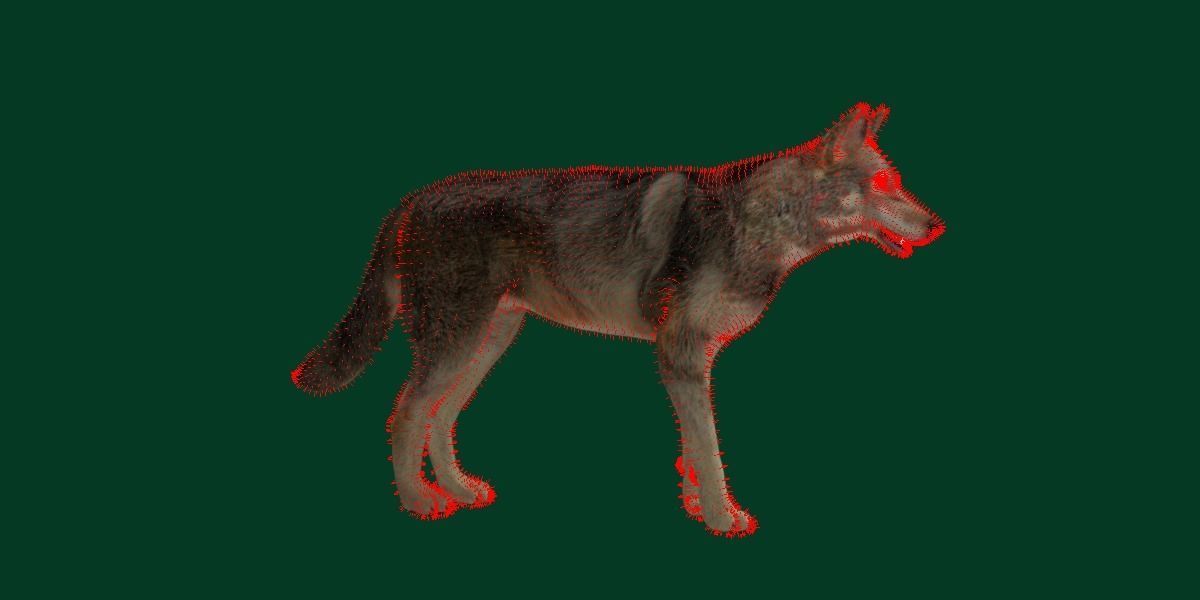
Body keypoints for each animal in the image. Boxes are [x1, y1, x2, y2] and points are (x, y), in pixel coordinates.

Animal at [291, 103, 945, 536]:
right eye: (884, 183)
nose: (936, 225)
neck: (757, 222)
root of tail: (418, 196)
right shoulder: (680, 355)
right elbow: (710, 449)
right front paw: (721, 515)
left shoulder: (694, 359)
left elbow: (693, 450)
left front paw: (697, 505)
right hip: (457, 343)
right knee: (405, 415)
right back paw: (418, 501)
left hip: (485, 344)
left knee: (440, 416)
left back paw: (456, 489)